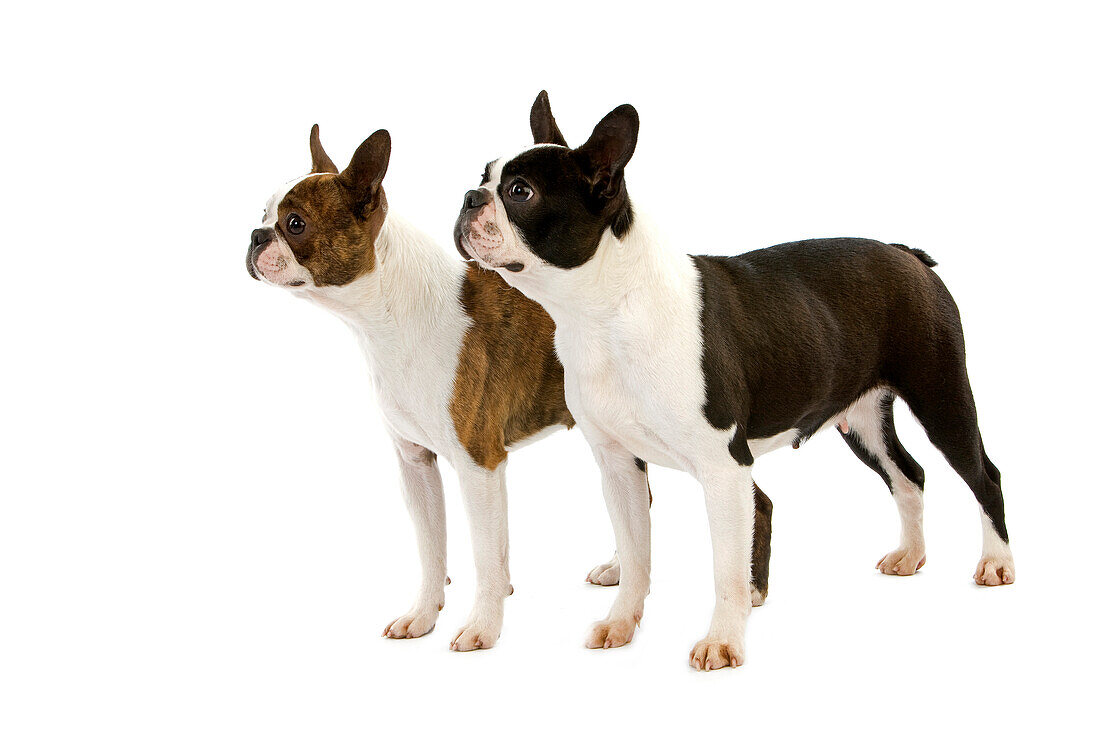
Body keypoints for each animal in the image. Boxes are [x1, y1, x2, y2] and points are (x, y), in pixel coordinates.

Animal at [247, 125, 783, 651]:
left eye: (294, 224)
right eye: (263, 215)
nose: (254, 236)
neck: (390, 310)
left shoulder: (478, 463)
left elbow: (486, 556)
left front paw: (482, 626)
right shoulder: (416, 464)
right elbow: (431, 550)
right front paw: (423, 615)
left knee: (751, 500)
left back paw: (748, 590)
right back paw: (621, 568)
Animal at [455, 93, 1012, 669]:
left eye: (521, 192)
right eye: (484, 177)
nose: (469, 198)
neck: (604, 312)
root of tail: (906, 253)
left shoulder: (724, 467)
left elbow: (725, 570)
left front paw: (722, 640)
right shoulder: (618, 465)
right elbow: (635, 555)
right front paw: (621, 623)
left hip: (941, 395)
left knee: (984, 475)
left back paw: (996, 563)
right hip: (862, 420)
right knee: (909, 474)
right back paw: (911, 554)